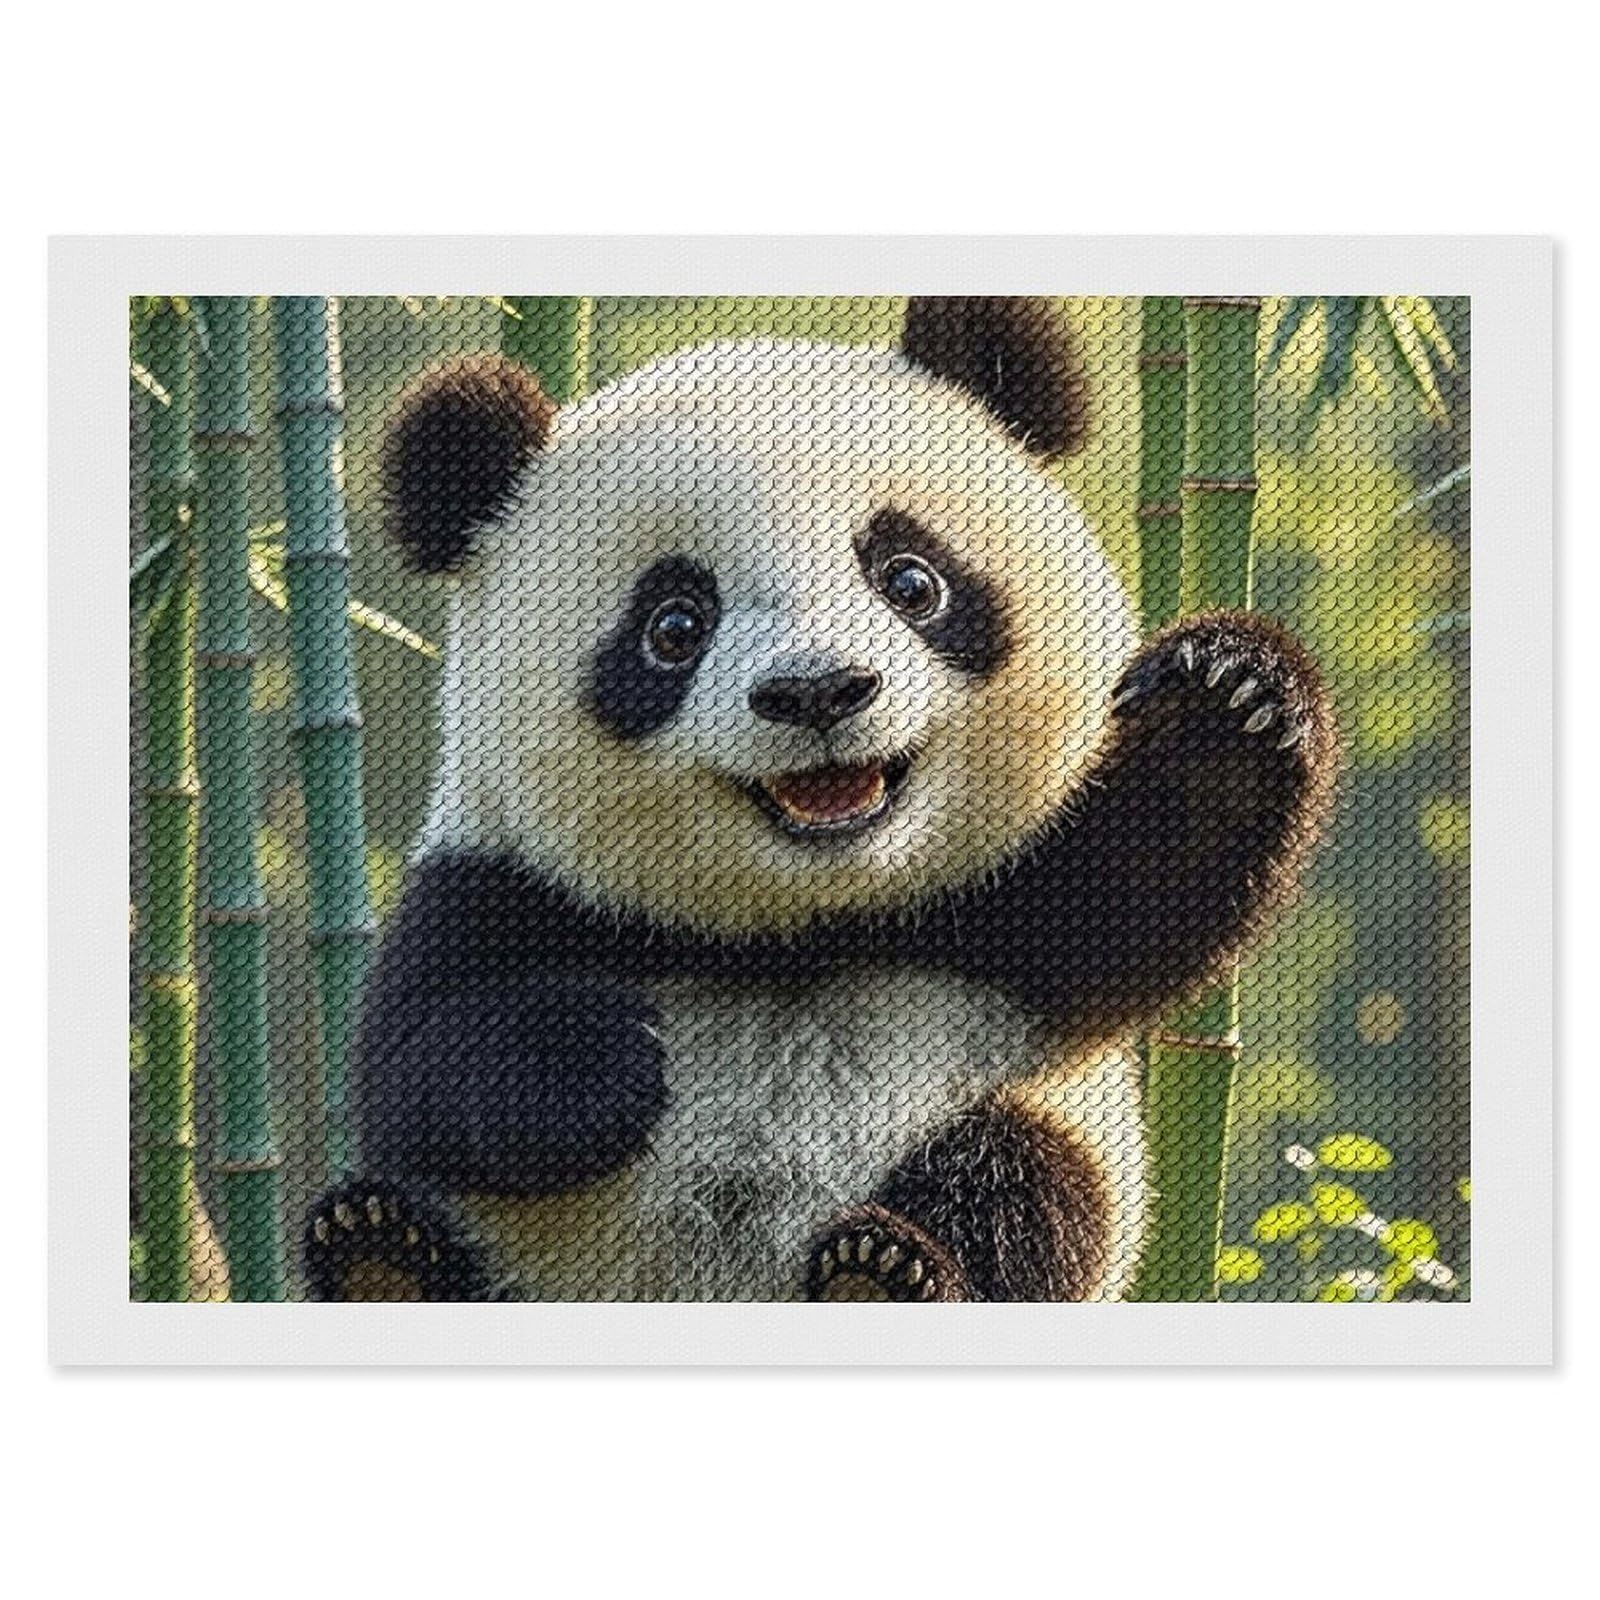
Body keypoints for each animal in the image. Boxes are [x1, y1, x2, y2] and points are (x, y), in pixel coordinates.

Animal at [305, 297, 1337, 1303]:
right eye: (673, 626)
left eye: (911, 579)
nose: (818, 692)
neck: (806, 928)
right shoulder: (504, 881)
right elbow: (409, 1060)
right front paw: (600, 1057)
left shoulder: (1007, 901)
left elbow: (1146, 880)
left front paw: (1228, 696)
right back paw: (382, 1259)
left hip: (1039, 1127)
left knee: (1021, 1178)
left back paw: (886, 1269)